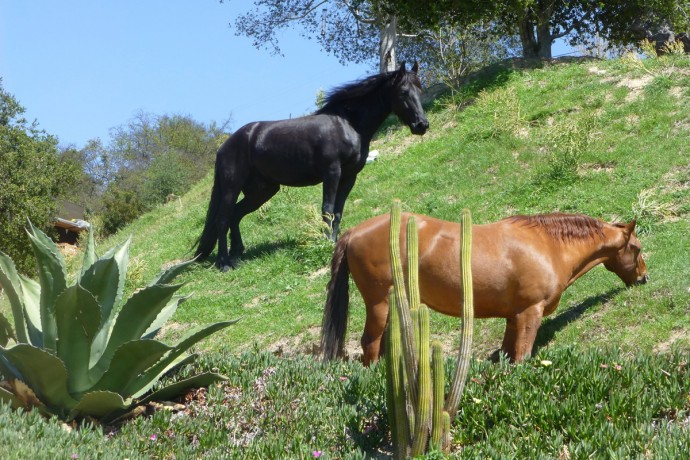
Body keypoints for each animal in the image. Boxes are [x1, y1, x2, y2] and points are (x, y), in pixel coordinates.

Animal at [194, 61, 428, 270]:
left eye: (420, 89)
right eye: (403, 92)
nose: (422, 125)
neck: (347, 124)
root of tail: (224, 148)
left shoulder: (349, 177)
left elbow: (338, 212)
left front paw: (334, 242)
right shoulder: (332, 173)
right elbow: (328, 209)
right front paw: (325, 241)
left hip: (262, 190)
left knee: (236, 214)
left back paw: (237, 253)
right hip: (231, 188)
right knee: (223, 219)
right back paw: (224, 263)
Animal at [320, 210, 648, 364]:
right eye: (636, 247)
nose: (643, 277)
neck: (547, 245)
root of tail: (353, 232)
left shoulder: (514, 318)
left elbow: (507, 355)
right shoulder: (530, 314)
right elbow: (522, 356)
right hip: (379, 304)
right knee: (370, 343)